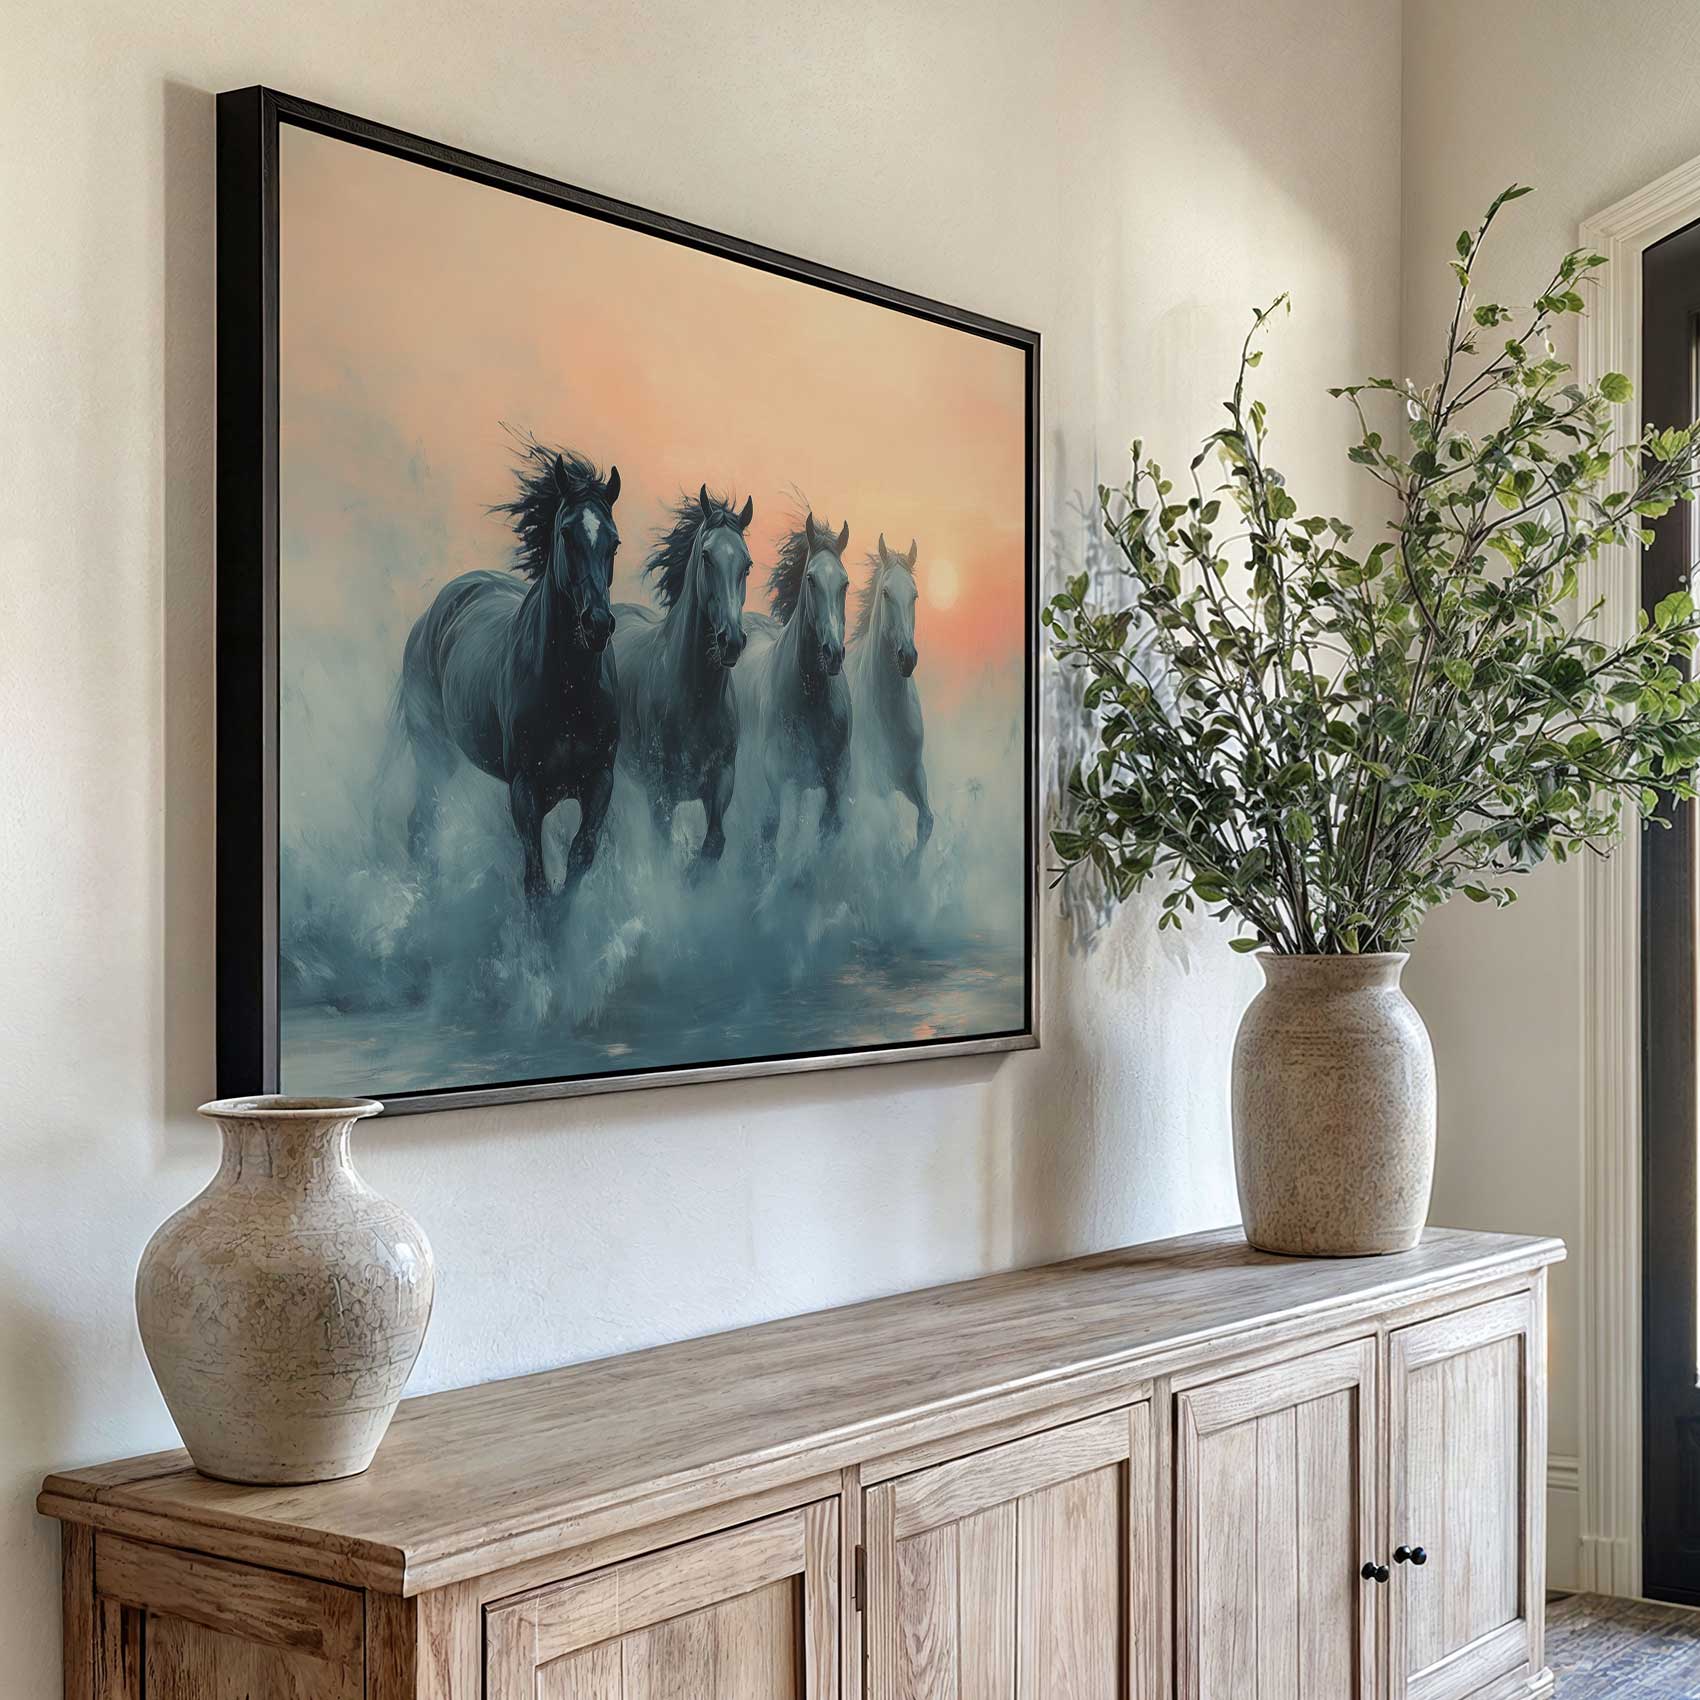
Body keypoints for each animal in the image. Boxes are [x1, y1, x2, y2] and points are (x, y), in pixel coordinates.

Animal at [394, 436, 621, 913]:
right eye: (566, 533)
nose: (596, 624)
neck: (569, 690)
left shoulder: (599, 782)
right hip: (432, 750)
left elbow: (580, 857)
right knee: (421, 821)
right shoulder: (526, 790)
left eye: (613, 542)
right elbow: (535, 881)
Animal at [611, 486, 753, 870]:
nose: (731, 640)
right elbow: (663, 850)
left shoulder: (721, 783)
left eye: (747, 564)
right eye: (706, 556)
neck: (695, 697)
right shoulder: (660, 793)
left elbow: (714, 843)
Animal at [739, 511, 852, 864]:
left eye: (845, 583)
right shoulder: (787, 782)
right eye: (811, 580)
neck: (811, 701)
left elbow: (829, 835)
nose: (833, 653)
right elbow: (787, 845)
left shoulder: (836, 781)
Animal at [846, 534, 932, 860]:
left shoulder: (914, 774)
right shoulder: (876, 785)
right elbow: (885, 831)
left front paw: (911, 865)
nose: (907, 658)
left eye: (915, 595)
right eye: (885, 593)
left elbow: (926, 822)